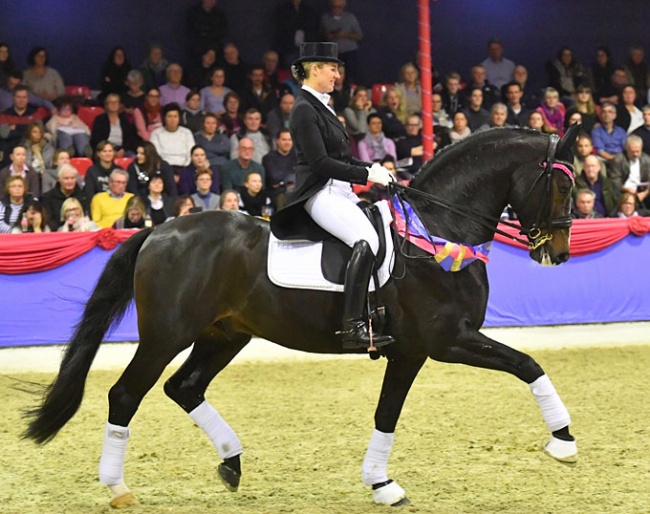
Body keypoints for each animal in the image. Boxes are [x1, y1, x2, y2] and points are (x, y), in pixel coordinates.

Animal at [27, 125, 580, 504]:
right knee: (126, 394)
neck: (439, 229)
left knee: (184, 387)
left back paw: (232, 463)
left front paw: (381, 484)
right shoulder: (447, 341)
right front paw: (563, 441)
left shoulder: (412, 352)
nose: (558, 253)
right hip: (167, 335)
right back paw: (118, 487)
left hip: (224, 334)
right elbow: (528, 364)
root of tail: (159, 231)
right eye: (561, 187)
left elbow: (387, 413)